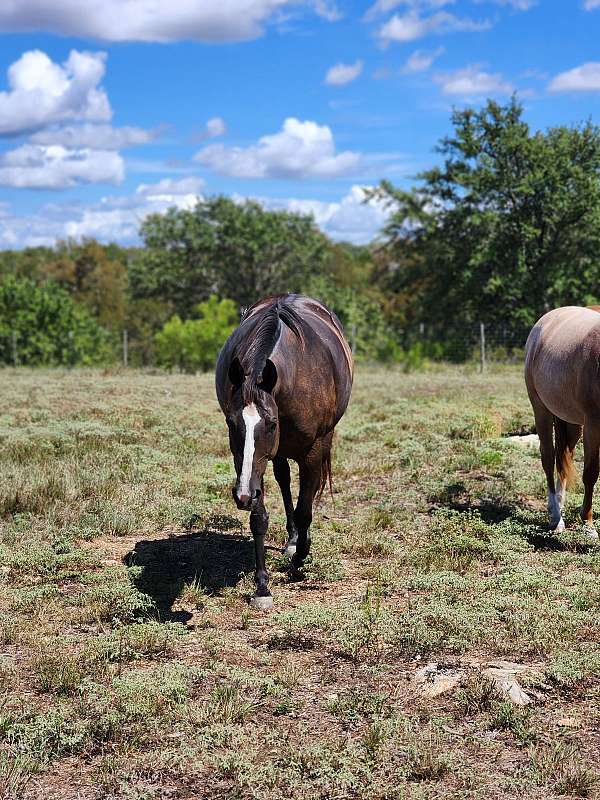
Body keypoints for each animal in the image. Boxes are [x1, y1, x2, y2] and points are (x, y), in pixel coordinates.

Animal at [214, 294, 352, 608]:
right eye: (231, 422)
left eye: (271, 423)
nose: (242, 495)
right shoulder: (249, 464)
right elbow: (259, 518)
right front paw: (262, 587)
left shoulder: (313, 451)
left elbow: (305, 510)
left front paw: (300, 558)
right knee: (284, 480)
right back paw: (291, 540)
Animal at [524, 304, 600, 536]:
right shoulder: (593, 424)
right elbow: (591, 473)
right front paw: (588, 524)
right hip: (541, 409)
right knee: (549, 458)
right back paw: (556, 518)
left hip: (572, 422)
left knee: (564, 458)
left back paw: (557, 506)